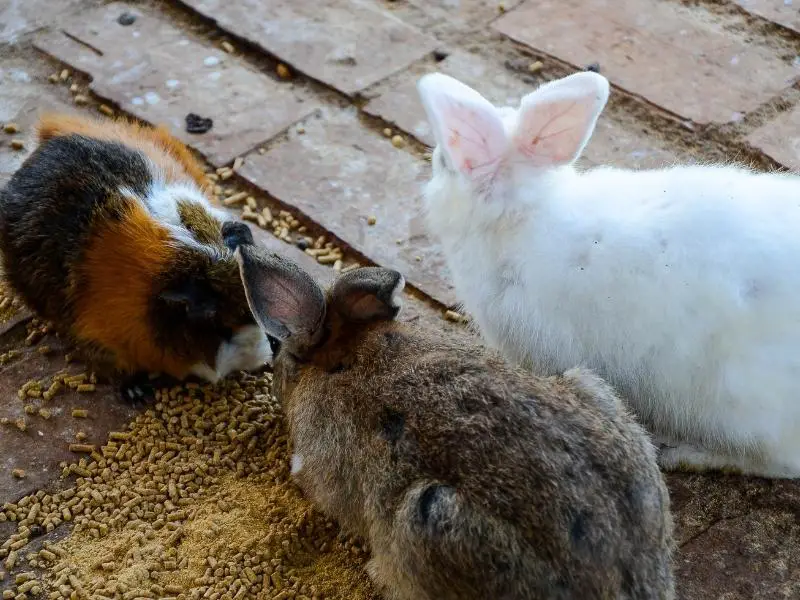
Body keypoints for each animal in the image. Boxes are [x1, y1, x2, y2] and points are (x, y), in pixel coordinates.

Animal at [416, 70, 800, 480]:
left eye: (443, 162)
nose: (433, 169)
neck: (521, 220)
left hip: (738, 403)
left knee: (780, 462)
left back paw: (687, 453)